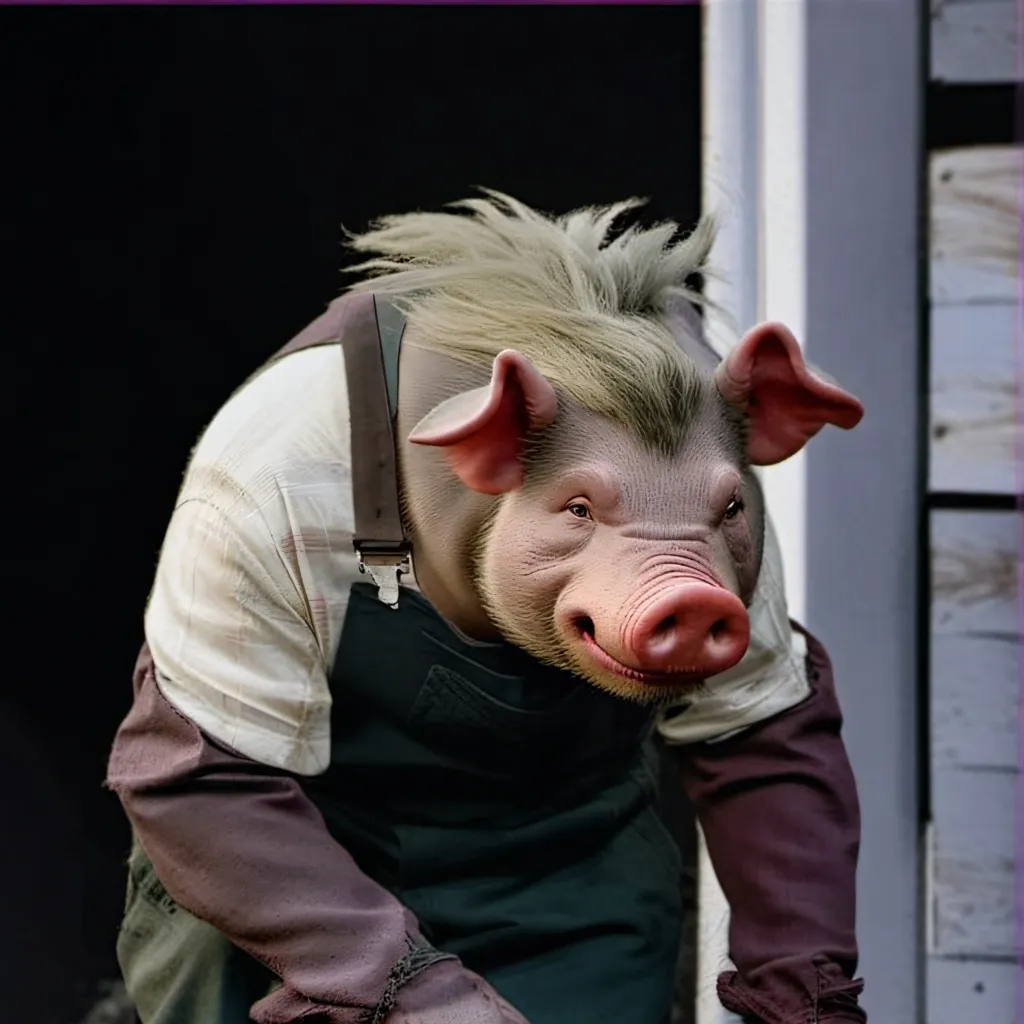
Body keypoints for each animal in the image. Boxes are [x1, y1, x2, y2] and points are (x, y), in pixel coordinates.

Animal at [107, 191, 867, 1024]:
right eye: (577, 507)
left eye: (730, 507)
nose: (696, 599)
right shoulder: (239, 540)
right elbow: (213, 782)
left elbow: (759, 727)